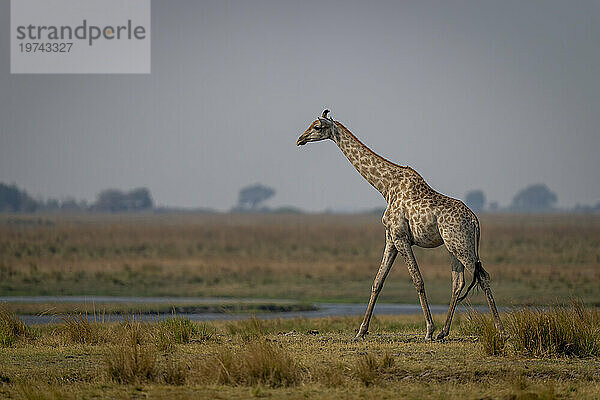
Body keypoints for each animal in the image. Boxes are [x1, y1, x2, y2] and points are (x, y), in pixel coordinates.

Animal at [298, 109, 504, 340]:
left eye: (317, 127)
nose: (300, 139)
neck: (385, 187)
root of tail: (476, 222)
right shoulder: (391, 238)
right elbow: (377, 281)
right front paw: (361, 332)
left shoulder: (401, 237)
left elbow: (418, 280)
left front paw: (428, 330)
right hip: (453, 247)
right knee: (458, 282)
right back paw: (444, 332)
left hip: (462, 245)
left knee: (483, 277)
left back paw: (499, 330)